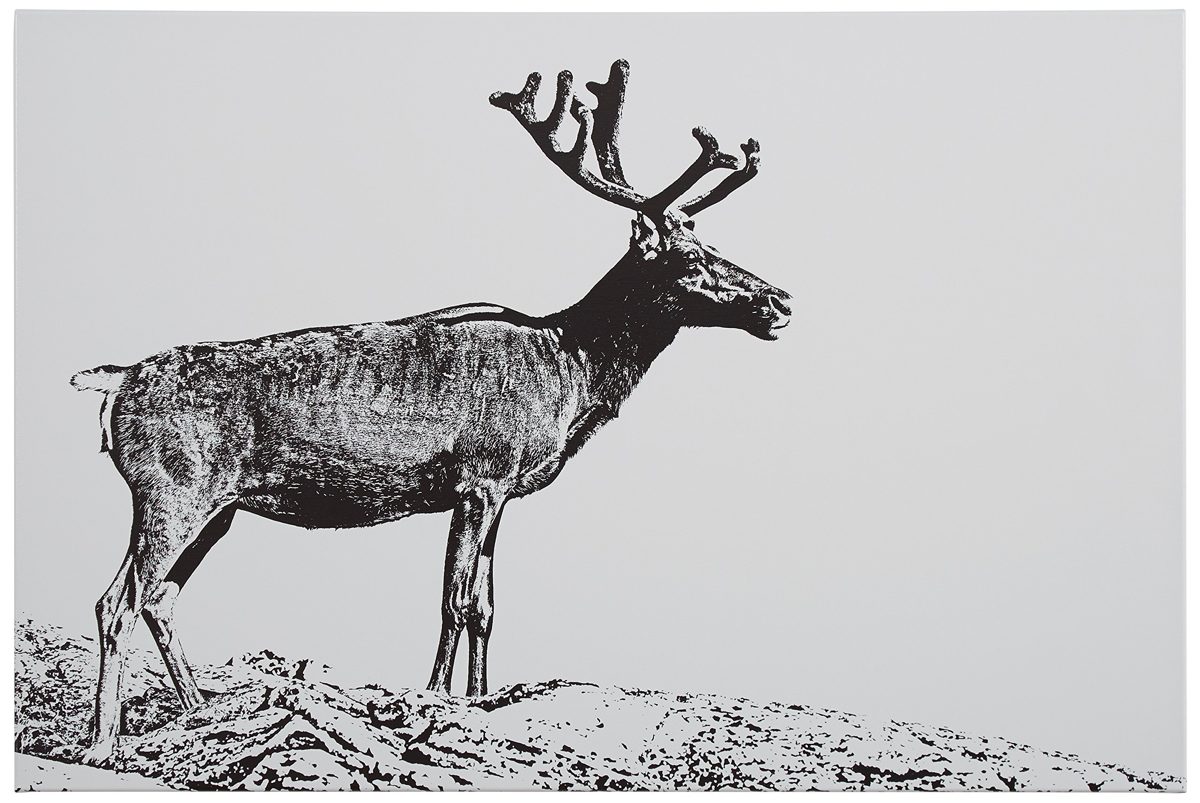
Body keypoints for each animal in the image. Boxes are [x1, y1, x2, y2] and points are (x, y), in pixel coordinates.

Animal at [70, 59, 792, 765]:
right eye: (689, 259)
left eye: (717, 246)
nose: (780, 301)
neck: (570, 371)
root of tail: (117, 382)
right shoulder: (479, 475)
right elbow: (455, 599)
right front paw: (433, 698)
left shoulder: (505, 491)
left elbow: (487, 607)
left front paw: (480, 698)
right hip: (171, 489)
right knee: (123, 601)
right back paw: (105, 742)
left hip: (213, 506)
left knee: (147, 600)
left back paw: (193, 713)